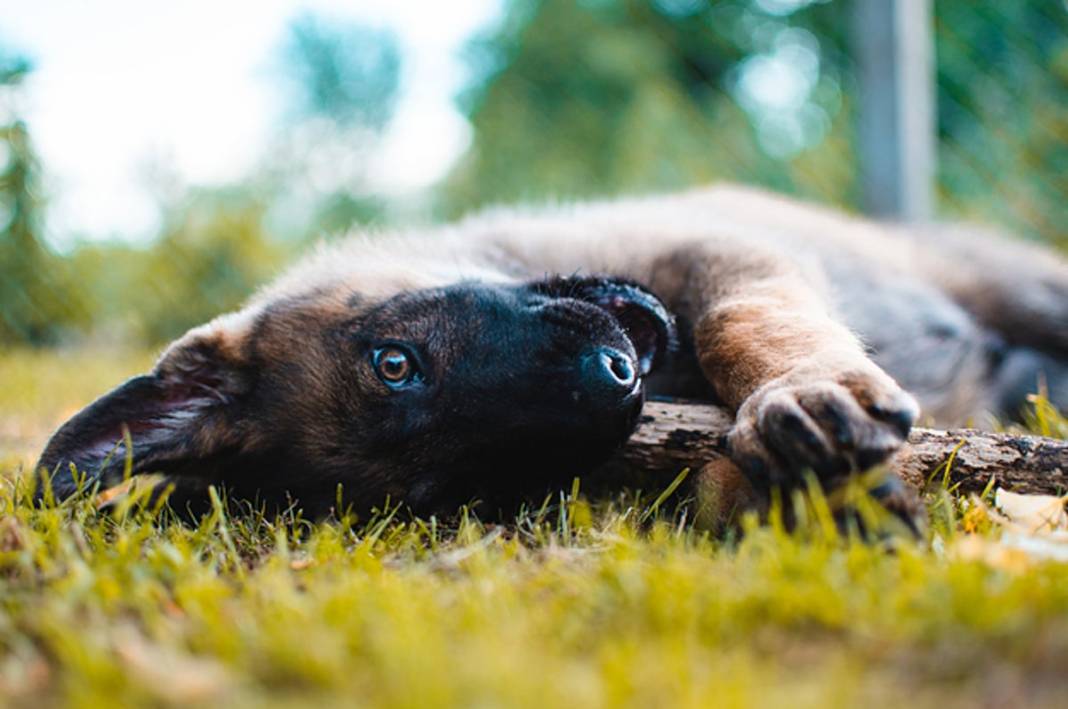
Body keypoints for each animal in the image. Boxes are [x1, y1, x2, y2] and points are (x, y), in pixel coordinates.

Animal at [35, 185, 1068, 521]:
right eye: (465, 487)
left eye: (394, 362)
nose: (614, 384)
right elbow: (706, 475)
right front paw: (808, 495)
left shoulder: (724, 250)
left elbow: (744, 319)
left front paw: (805, 391)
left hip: (1023, 282)